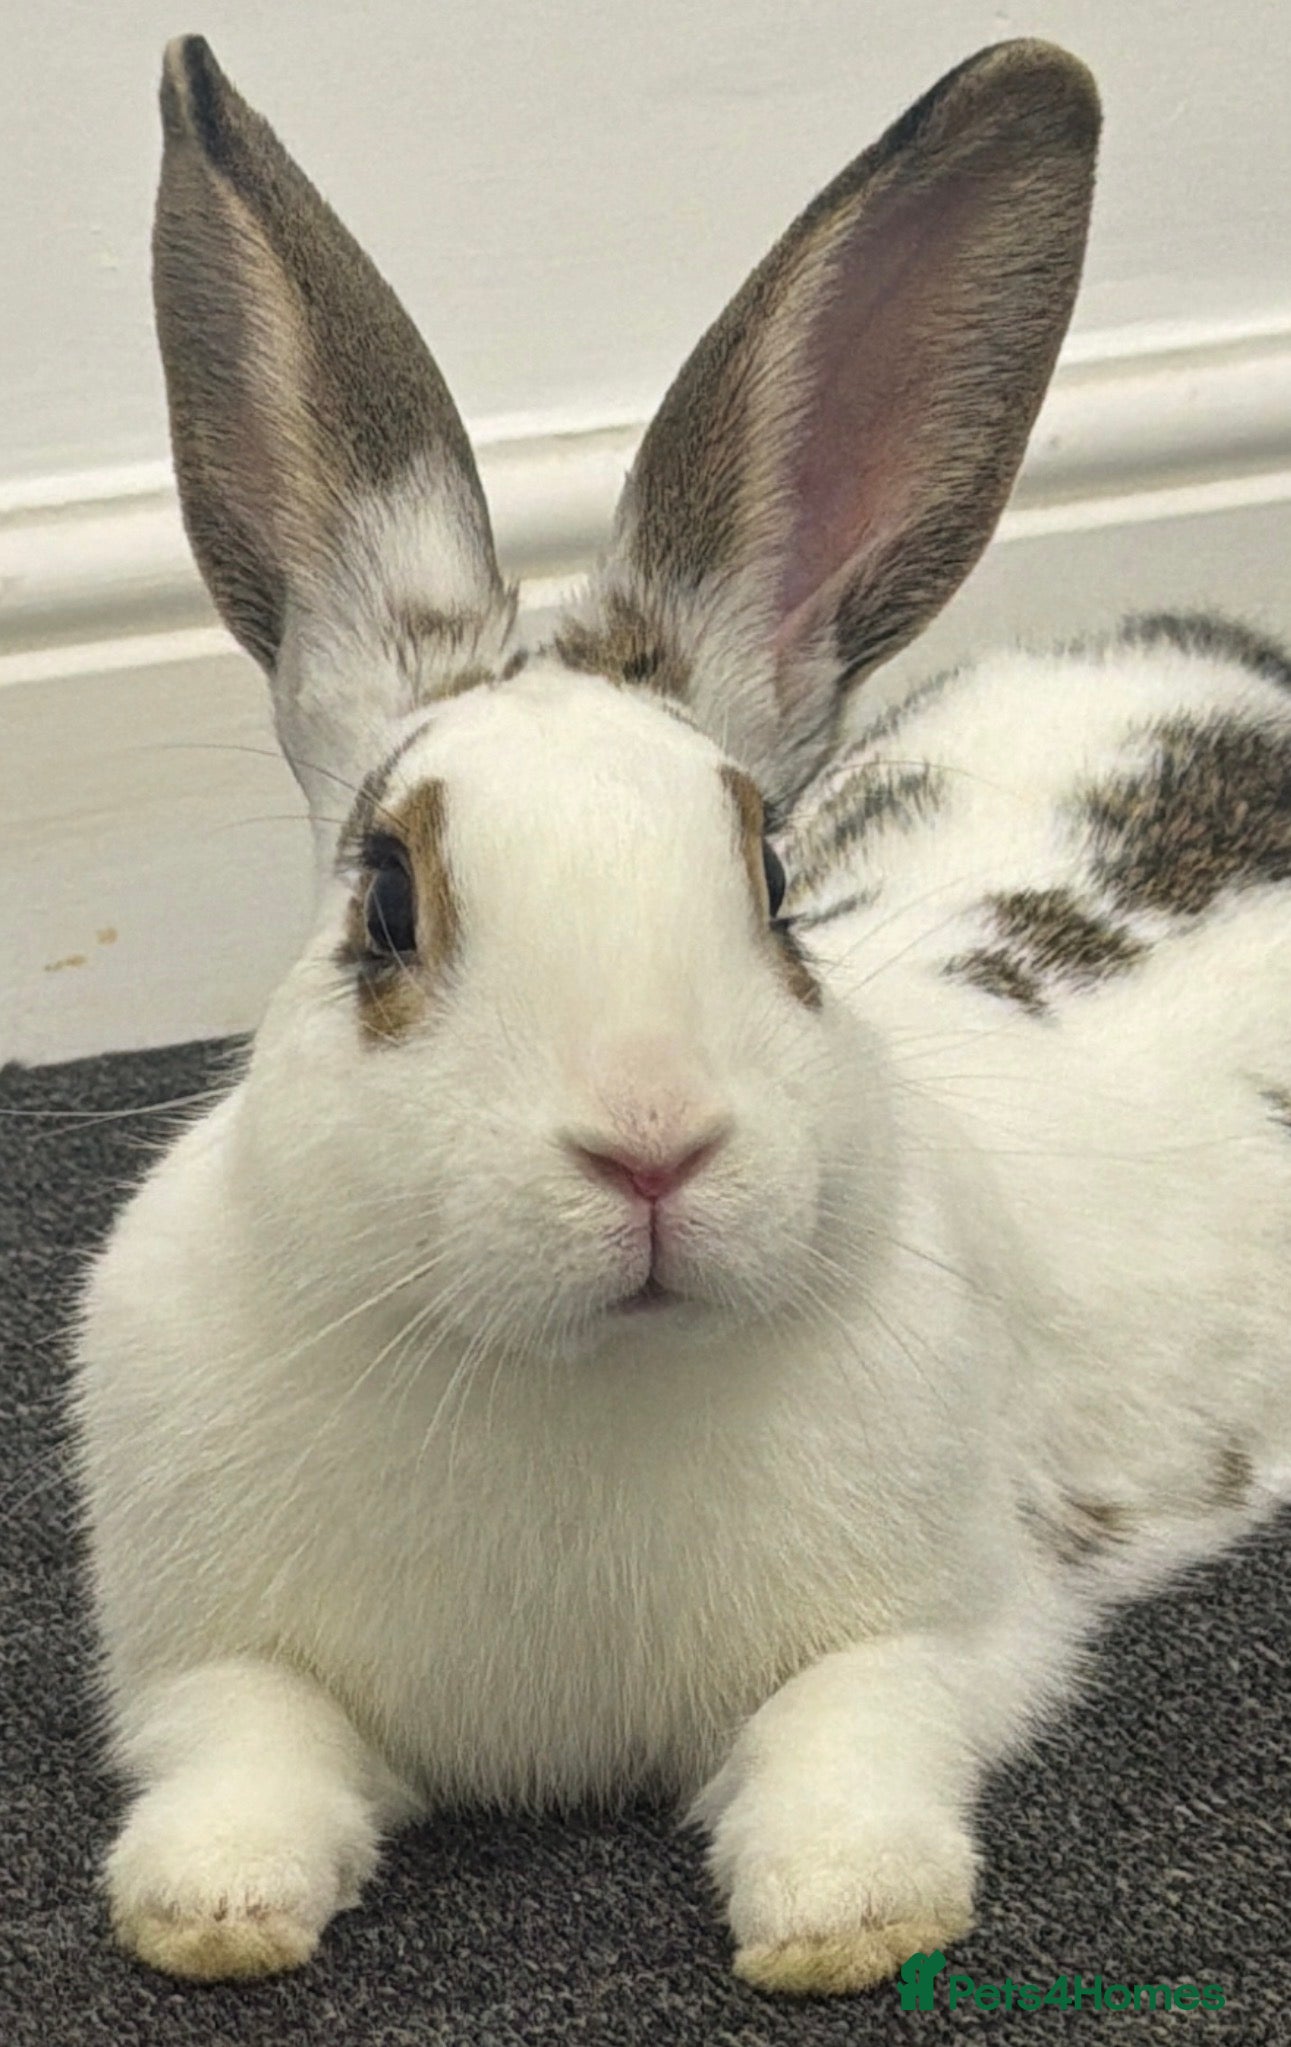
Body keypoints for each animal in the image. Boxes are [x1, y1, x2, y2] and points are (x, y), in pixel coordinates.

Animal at [67, 32, 1291, 2001]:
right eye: (385, 901)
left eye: (775, 881)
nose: (651, 1143)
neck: (570, 1379)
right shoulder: (203, 1654)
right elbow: (244, 1752)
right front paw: (213, 1909)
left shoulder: (941, 1622)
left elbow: (848, 1735)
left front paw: (843, 1917)